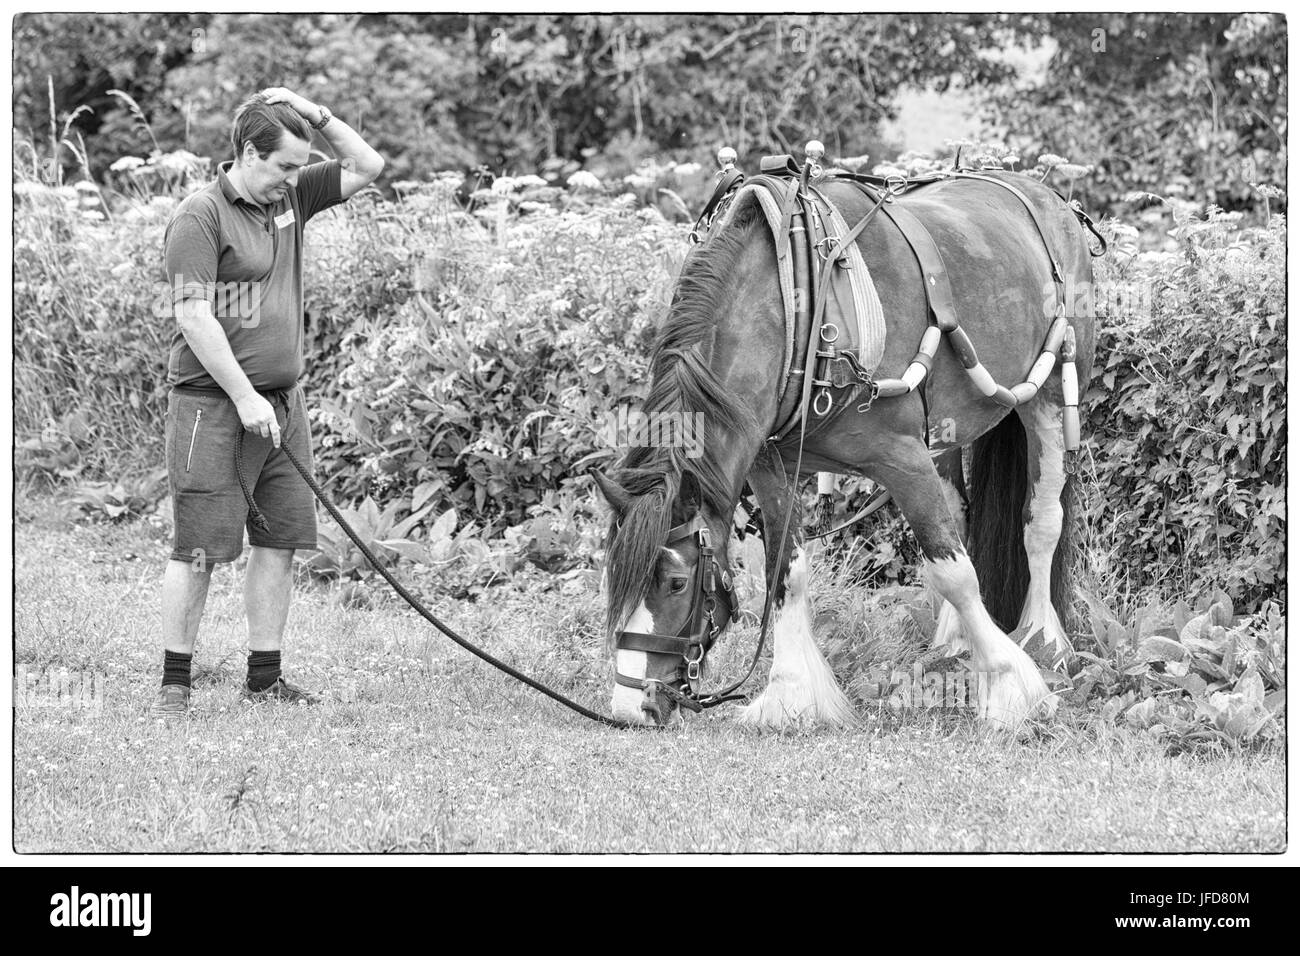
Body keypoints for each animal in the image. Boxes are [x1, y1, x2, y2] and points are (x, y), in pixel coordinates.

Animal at [594, 153, 1097, 729]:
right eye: (614, 578)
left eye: (676, 583)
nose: (631, 706)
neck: (798, 306)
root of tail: (1048, 197)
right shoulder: (772, 466)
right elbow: (785, 573)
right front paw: (790, 694)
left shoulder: (903, 457)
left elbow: (954, 573)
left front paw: (1012, 685)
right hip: (946, 431)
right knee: (961, 515)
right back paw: (954, 642)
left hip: (1051, 395)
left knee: (1041, 523)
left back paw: (1043, 639)